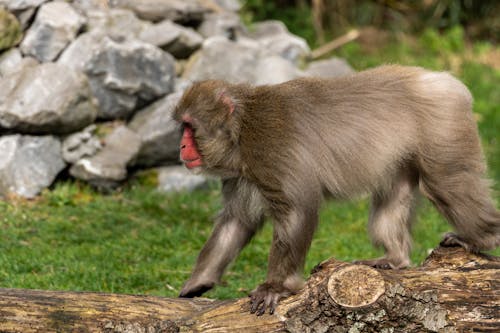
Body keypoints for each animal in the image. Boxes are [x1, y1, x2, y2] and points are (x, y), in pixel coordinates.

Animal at [173, 64, 500, 314]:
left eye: (190, 127)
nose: (182, 147)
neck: (242, 131)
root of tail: (440, 79)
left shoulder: (272, 150)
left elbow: (297, 211)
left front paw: (276, 286)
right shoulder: (240, 176)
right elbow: (237, 222)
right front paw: (198, 281)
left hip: (443, 127)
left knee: (446, 182)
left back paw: (483, 236)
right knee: (392, 194)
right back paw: (394, 258)